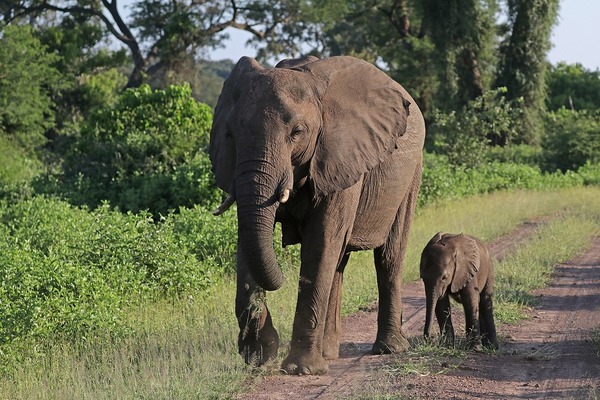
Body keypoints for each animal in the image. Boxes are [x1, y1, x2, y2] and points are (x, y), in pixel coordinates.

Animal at [209, 54, 424, 374]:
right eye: (231, 134)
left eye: (297, 132)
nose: (283, 279)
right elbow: (247, 238)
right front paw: (260, 353)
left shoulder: (340, 157)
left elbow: (320, 243)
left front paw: (300, 369)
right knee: (339, 262)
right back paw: (329, 354)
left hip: (412, 172)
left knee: (388, 256)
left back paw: (388, 349)